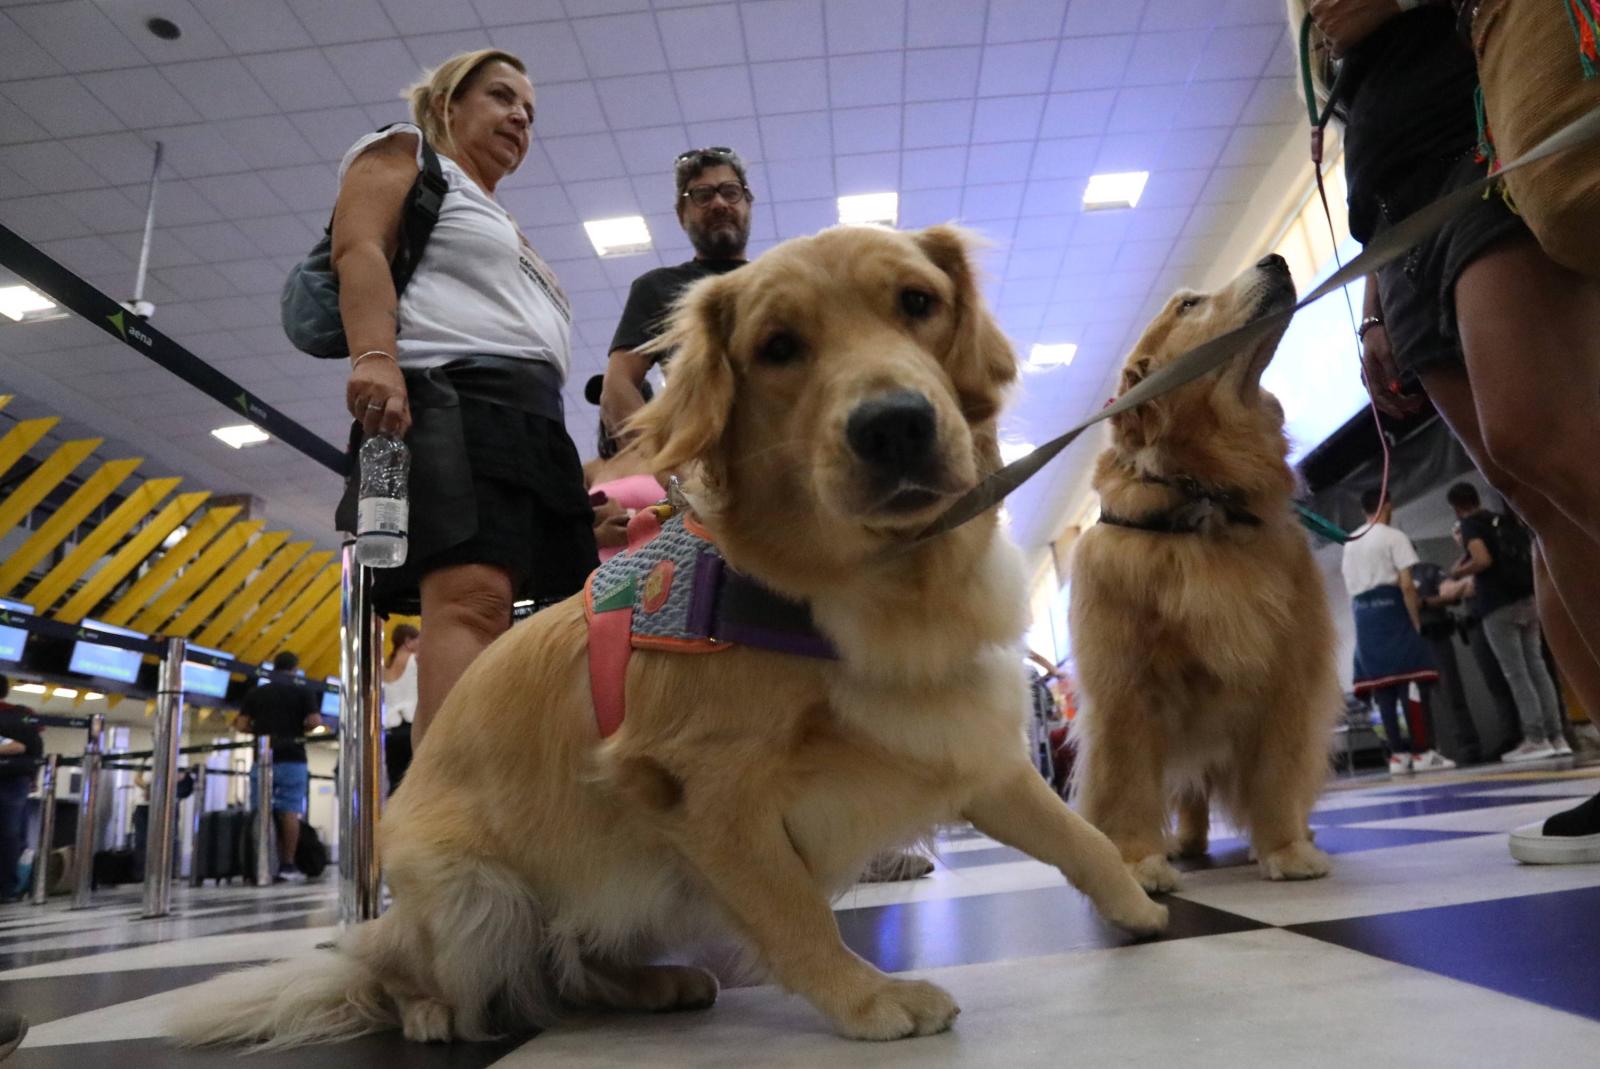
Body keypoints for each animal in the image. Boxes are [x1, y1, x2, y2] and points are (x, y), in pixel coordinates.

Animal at [175, 220, 1171, 1049]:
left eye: (918, 303)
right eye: (778, 348)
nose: (894, 427)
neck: (864, 584)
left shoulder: (956, 736)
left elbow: (1072, 832)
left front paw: (1137, 896)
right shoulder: (701, 790)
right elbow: (794, 909)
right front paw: (868, 996)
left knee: (568, 969)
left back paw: (650, 983)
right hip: (473, 893)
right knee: (427, 975)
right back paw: (426, 1010)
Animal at [1068, 256, 1344, 896]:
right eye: (1188, 305)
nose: (1277, 259)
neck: (1205, 498)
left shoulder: (1286, 675)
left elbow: (1277, 774)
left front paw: (1284, 848)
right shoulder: (1124, 689)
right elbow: (1128, 783)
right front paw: (1139, 861)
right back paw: (1183, 844)